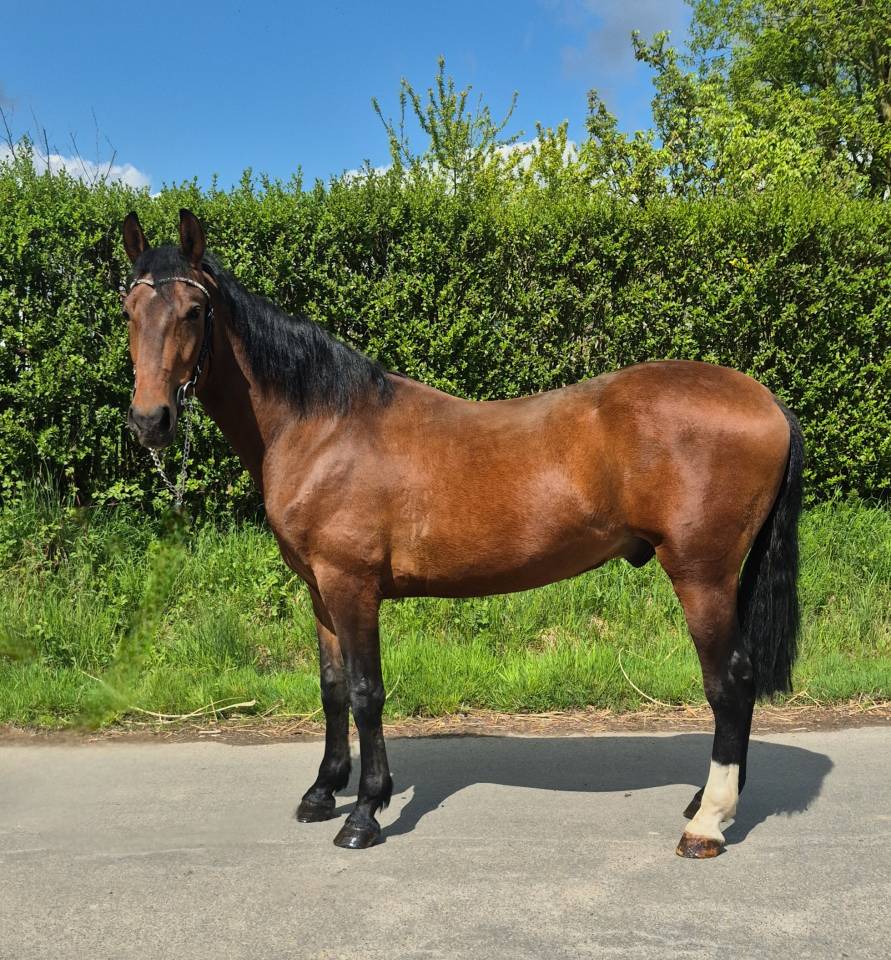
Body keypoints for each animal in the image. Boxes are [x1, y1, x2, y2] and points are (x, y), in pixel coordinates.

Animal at [121, 208, 803, 858]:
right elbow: (333, 689)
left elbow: (366, 692)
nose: (150, 420)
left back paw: (708, 824)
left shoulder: (351, 585)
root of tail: (767, 401)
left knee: (730, 682)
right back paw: (706, 801)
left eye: (193, 311)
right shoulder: (319, 590)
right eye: (129, 309)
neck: (322, 425)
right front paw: (321, 793)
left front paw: (365, 813)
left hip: (701, 573)